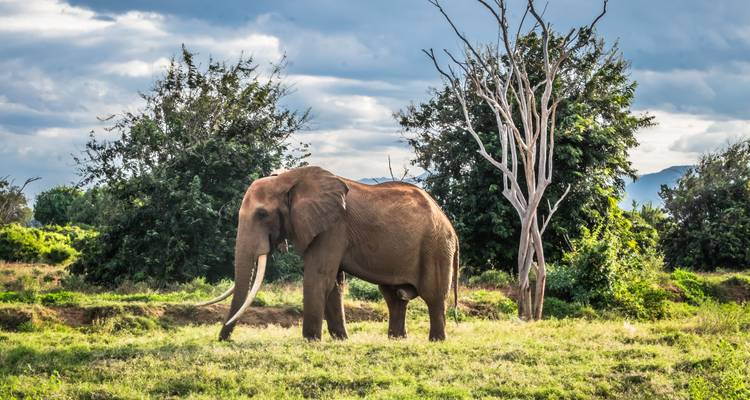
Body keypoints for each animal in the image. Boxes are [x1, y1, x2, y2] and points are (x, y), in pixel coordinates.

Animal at [197, 166, 459, 341]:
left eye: (262, 214)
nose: (223, 339)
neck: (288, 179)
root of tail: (450, 225)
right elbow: (333, 283)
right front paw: (340, 340)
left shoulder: (333, 227)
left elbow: (318, 276)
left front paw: (310, 341)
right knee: (394, 297)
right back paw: (396, 340)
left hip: (436, 247)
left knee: (433, 296)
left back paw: (436, 341)